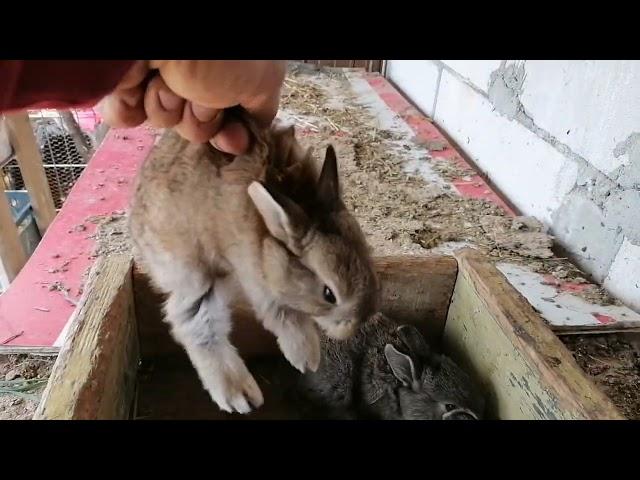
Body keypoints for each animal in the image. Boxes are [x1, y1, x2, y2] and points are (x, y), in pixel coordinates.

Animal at [131, 114, 380, 414]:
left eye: (368, 255)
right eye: (329, 294)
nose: (354, 326)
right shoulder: (257, 281)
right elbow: (284, 317)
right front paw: (306, 357)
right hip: (195, 273)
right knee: (190, 320)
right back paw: (238, 394)